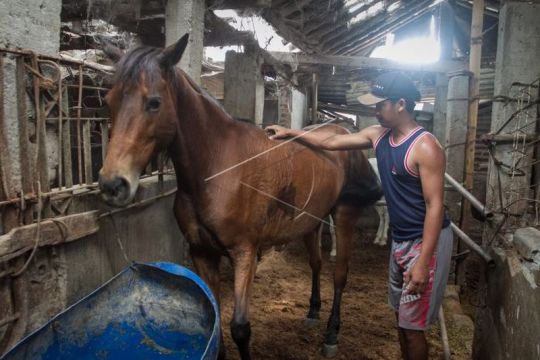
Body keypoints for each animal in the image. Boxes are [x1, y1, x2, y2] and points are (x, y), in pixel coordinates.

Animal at [98, 34, 384, 360]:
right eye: (108, 101)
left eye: (154, 102)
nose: (112, 184)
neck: (217, 168)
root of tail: (343, 132)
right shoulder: (202, 253)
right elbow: (215, 316)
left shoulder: (245, 253)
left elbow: (240, 328)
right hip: (311, 222)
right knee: (316, 264)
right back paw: (312, 313)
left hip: (344, 214)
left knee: (339, 274)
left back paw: (332, 333)